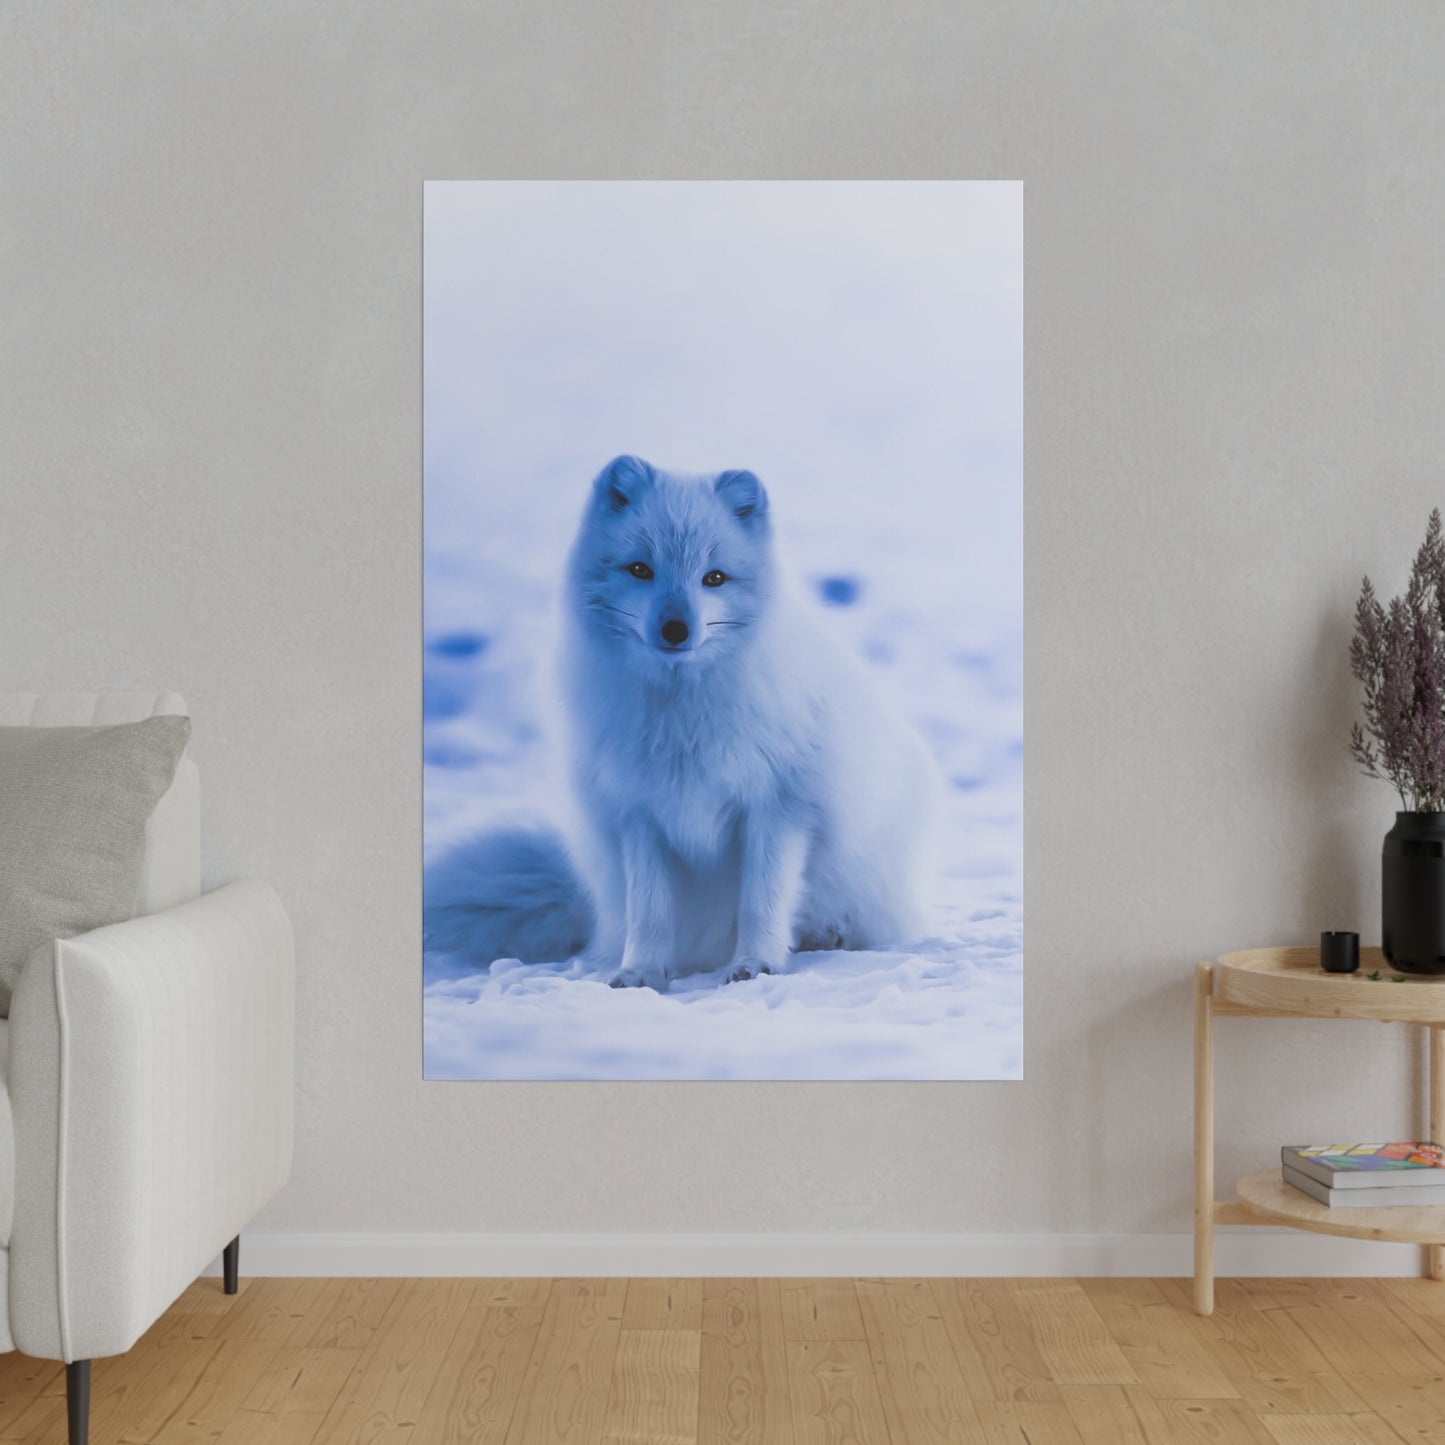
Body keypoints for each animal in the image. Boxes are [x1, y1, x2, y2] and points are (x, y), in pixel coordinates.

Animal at [421, 456, 936, 988]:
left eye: (714, 578)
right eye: (640, 569)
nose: (675, 628)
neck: (681, 714)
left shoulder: (778, 809)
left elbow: (762, 901)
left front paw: (756, 964)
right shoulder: (639, 814)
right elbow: (650, 911)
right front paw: (641, 972)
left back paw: (827, 934)